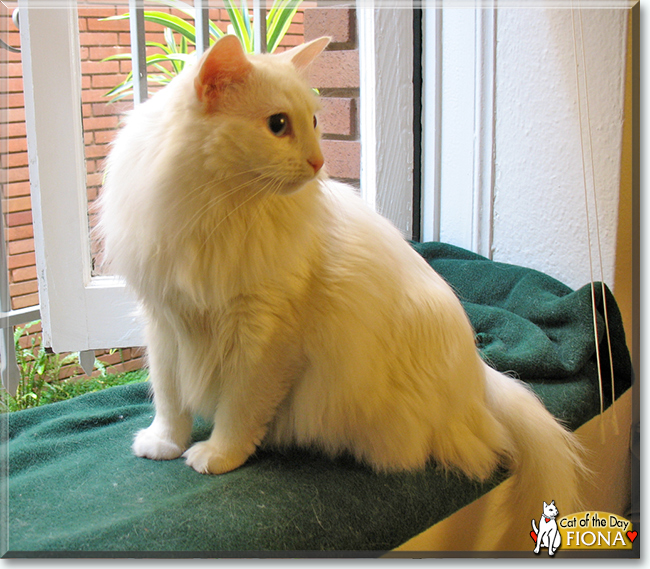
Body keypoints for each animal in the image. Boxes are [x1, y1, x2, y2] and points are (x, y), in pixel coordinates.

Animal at [98, 34, 584, 536]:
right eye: (278, 125)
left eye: (313, 122)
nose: (319, 161)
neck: (219, 215)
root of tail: (480, 377)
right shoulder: (165, 321)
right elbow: (169, 399)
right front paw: (163, 444)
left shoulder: (263, 339)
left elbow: (239, 409)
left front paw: (217, 455)